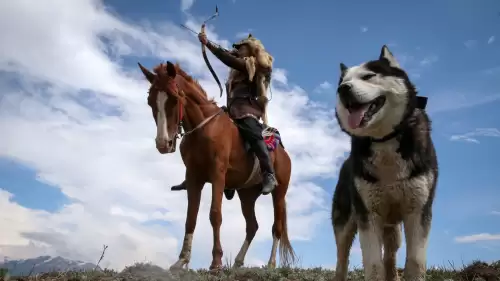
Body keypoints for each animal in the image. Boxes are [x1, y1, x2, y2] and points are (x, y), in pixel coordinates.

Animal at [137, 60, 294, 270]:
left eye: (175, 98)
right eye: (150, 101)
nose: (163, 143)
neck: (203, 129)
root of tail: (284, 154)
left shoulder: (217, 175)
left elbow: (215, 215)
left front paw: (216, 262)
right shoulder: (194, 178)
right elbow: (190, 218)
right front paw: (182, 260)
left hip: (279, 192)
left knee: (276, 227)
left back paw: (270, 264)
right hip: (246, 195)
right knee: (252, 226)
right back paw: (237, 262)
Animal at [332, 44, 438, 278]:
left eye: (368, 76)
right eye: (342, 83)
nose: (343, 89)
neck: (385, 140)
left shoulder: (418, 211)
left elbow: (415, 261)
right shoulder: (368, 215)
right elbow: (373, 264)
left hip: (392, 229)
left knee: (390, 256)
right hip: (345, 223)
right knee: (342, 259)